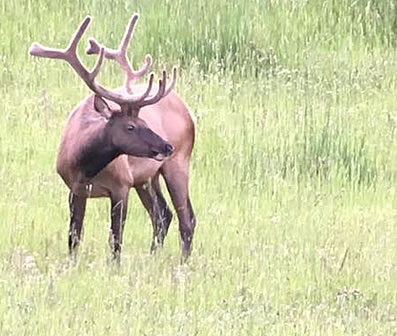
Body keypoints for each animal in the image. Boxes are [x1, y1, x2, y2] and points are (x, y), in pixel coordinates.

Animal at [28, 13, 196, 262]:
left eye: (145, 122)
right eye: (131, 127)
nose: (167, 146)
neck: (86, 167)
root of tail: (188, 112)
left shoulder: (121, 185)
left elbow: (116, 239)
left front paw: (114, 266)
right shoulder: (74, 189)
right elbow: (74, 236)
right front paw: (72, 264)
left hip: (178, 163)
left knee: (186, 218)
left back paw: (182, 262)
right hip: (147, 177)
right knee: (163, 215)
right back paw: (152, 257)